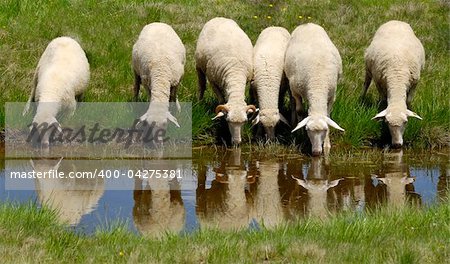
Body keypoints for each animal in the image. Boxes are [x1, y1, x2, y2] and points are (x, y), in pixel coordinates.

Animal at [194, 17, 255, 145]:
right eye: (228, 121)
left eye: (244, 122)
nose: (236, 142)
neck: (235, 74)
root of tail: (219, 18)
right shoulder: (213, 81)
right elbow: (221, 99)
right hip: (199, 66)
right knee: (201, 85)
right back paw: (199, 102)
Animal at [284, 23, 344, 156]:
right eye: (307, 130)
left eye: (325, 129)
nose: (316, 152)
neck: (318, 85)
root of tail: (308, 24)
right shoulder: (296, 91)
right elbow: (300, 110)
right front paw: (300, 135)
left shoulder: (332, 96)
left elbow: (328, 115)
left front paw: (327, 145)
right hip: (290, 81)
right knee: (292, 102)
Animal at [362, 20, 426, 148]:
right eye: (387, 122)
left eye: (405, 122)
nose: (397, 144)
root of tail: (395, 21)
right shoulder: (379, 81)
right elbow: (383, 99)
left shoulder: (414, 83)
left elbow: (409, 100)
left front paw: (409, 108)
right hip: (368, 68)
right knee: (366, 83)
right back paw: (362, 97)